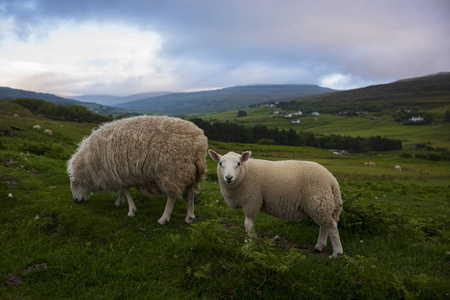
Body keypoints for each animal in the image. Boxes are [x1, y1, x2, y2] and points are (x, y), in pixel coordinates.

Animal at [67, 116, 208, 224]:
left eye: (75, 183)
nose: (76, 200)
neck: (89, 164)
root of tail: (199, 141)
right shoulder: (119, 173)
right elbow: (123, 190)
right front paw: (120, 202)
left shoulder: (118, 173)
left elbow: (126, 191)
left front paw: (131, 211)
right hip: (190, 172)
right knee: (190, 193)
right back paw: (189, 217)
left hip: (172, 172)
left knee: (172, 197)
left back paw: (164, 218)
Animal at [209, 150, 342, 258]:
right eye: (220, 163)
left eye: (238, 164)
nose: (228, 177)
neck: (245, 173)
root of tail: (332, 180)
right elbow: (250, 225)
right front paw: (253, 239)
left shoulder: (251, 201)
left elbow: (248, 224)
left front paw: (247, 245)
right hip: (321, 204)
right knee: (324, 225)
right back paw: (319, 247)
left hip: (318, 201)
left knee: (331, 226)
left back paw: (336, 254)